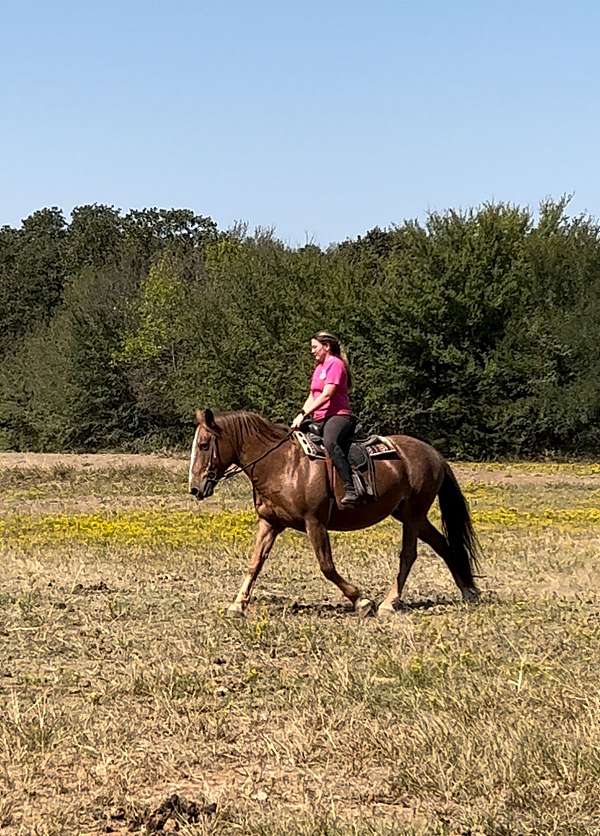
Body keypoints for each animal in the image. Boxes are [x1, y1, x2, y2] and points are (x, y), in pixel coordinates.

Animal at [190, 408, 480, 616]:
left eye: (204, 444)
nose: (195, 488)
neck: (281, 464)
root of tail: (434, 454)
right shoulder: (270, 522)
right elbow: (254, 563)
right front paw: (237, 605)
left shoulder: (314, 522)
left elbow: (327, 566)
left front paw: (361, 601)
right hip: (410, 515)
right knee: (442, 544)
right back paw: (468, 591)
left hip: (412, 514)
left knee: (409, 554)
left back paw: (389, 602)